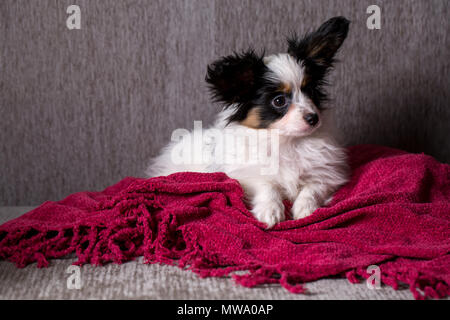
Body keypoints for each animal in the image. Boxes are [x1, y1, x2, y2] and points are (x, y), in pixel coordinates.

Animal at [148, 16, 352, 228]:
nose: (314, 118)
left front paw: (306, 209)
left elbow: (313, 188)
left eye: (310, 91)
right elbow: (267, 186)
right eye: (279, 101)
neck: (287, 141)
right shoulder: (245, 175)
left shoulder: (327, 174)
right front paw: (270, 211)